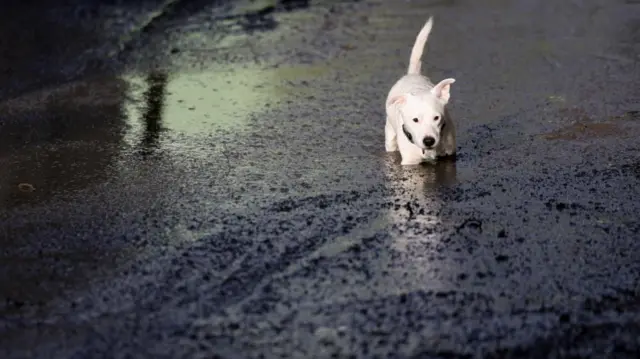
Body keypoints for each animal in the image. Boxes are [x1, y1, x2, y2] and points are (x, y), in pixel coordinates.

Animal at [384, 17, 456, 167]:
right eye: (415, 120)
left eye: (436, 117)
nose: (428, 141)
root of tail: (412, 74)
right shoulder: (410, 161)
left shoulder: (449, 154)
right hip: (390, 134)